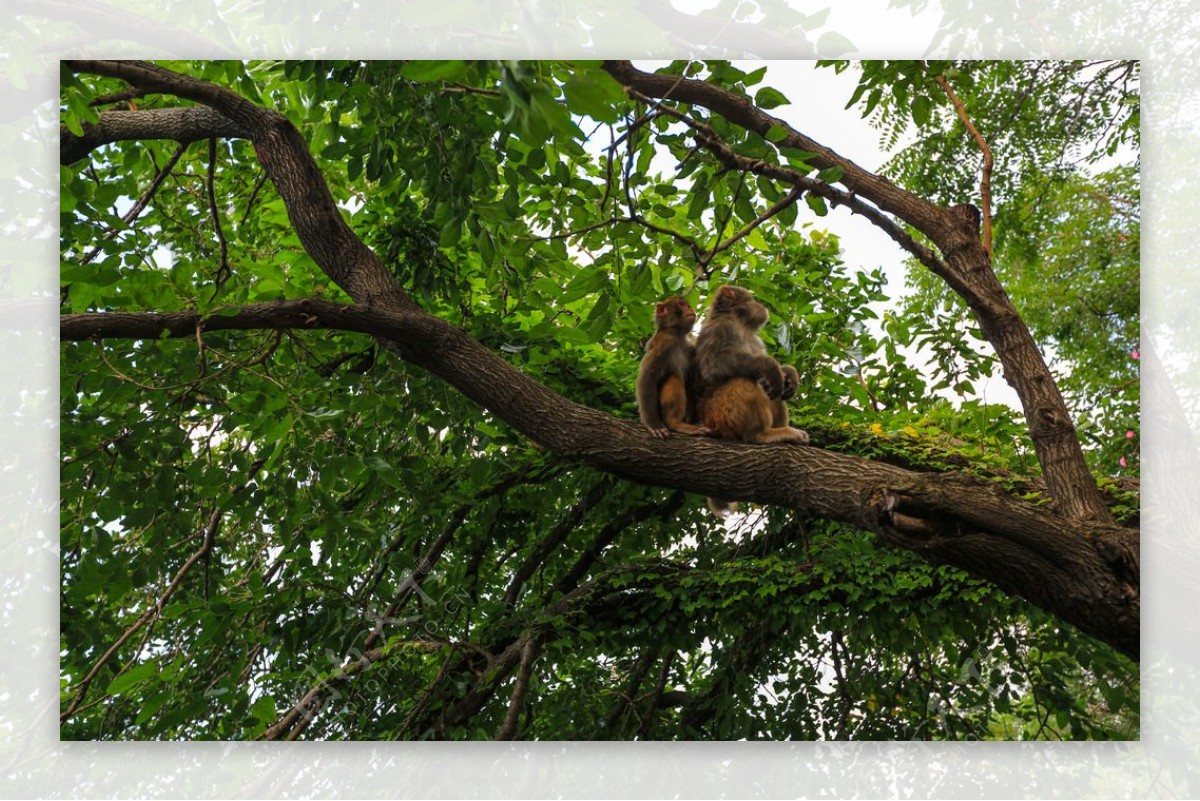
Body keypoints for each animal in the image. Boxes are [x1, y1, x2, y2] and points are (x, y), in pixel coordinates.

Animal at [638, 297, 710, 441]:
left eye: (687, 305)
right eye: (681, 305)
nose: (690, 308)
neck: (677, 336)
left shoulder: (691, 347)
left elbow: (691, 382)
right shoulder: (663, 343)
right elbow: (647, 378)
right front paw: (653, 424)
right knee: (673, 376)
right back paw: (674, 422)